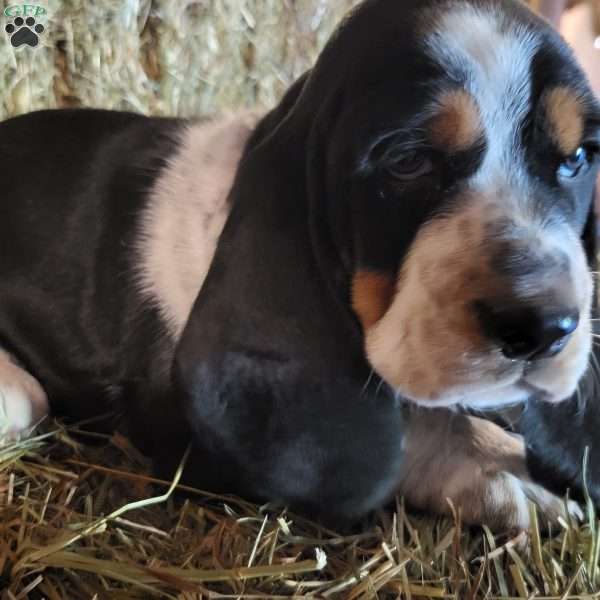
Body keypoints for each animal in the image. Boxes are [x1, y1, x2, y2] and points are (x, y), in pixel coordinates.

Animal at [1, 0, 600, 528]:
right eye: (407, 161)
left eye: (575, 158)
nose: (544, 327)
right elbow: (410, 438)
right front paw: (508, 484)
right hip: (23, 399)